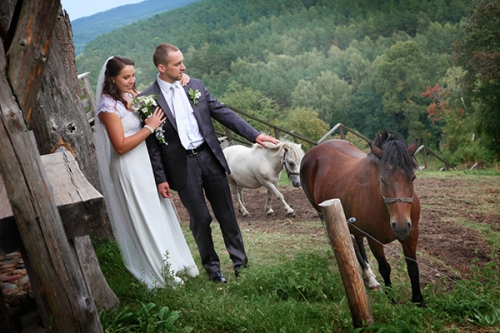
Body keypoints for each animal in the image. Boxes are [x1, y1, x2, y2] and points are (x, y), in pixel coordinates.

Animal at [300, 131, 426, 308]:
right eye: (382, 180)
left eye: (412, 178)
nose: (400, 226)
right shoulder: (375, 240)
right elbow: (385, 268)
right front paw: (391, 299)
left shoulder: (411, 234)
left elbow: (413, 267)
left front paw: (419, 300)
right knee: (351, 244)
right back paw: (371, 280)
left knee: (358, 241)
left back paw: (369, 277)